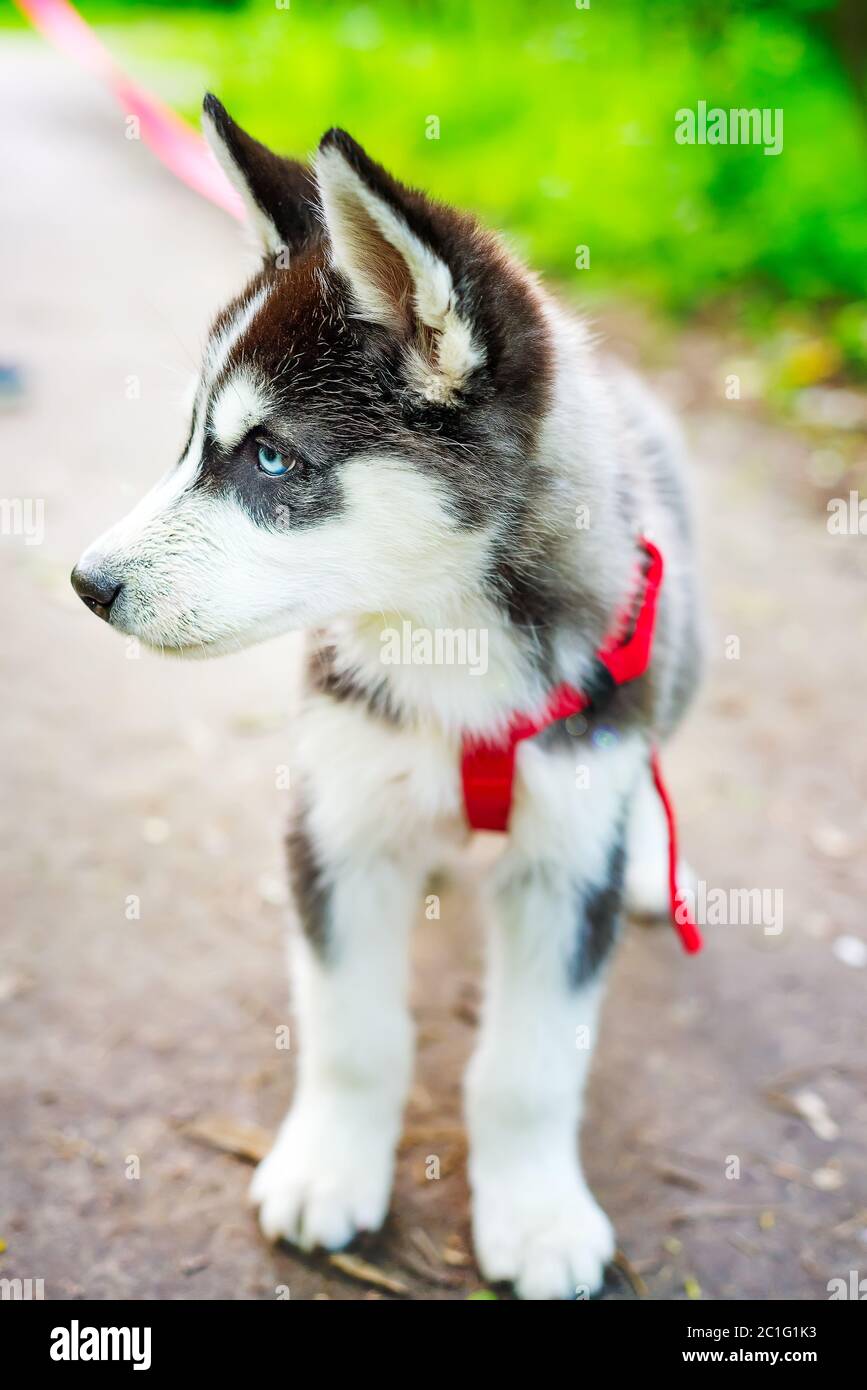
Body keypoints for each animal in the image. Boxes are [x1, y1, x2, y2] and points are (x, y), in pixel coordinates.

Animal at [71, 100, 700, 1301]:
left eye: (271, 459)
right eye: (191, 442)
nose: (88, 585)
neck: (448, 646)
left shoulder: (562, 865)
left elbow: (530, 1068)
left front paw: (537, 1214)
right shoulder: (339, 822)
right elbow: (355, 1033)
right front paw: (331, 1168)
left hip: (673, 659)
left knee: (651, 755)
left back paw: (650, 855)